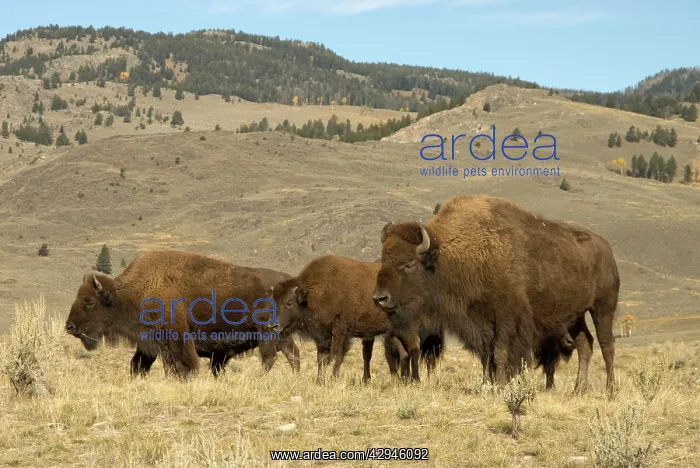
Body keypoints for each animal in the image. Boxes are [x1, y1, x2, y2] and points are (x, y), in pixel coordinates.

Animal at [373, 195, 619, 393]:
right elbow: (486, 355)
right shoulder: (480, 322)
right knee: (585, 345)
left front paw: (499, 385)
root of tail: (606, 249)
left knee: (607, 345)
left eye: (409, 264)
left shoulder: (506, 319)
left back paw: (610, 390)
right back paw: (578, 390)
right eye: (383, 259)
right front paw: (486, 384)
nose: (379, 298)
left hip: (603, 308)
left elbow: (500, 352)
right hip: (575, 316)